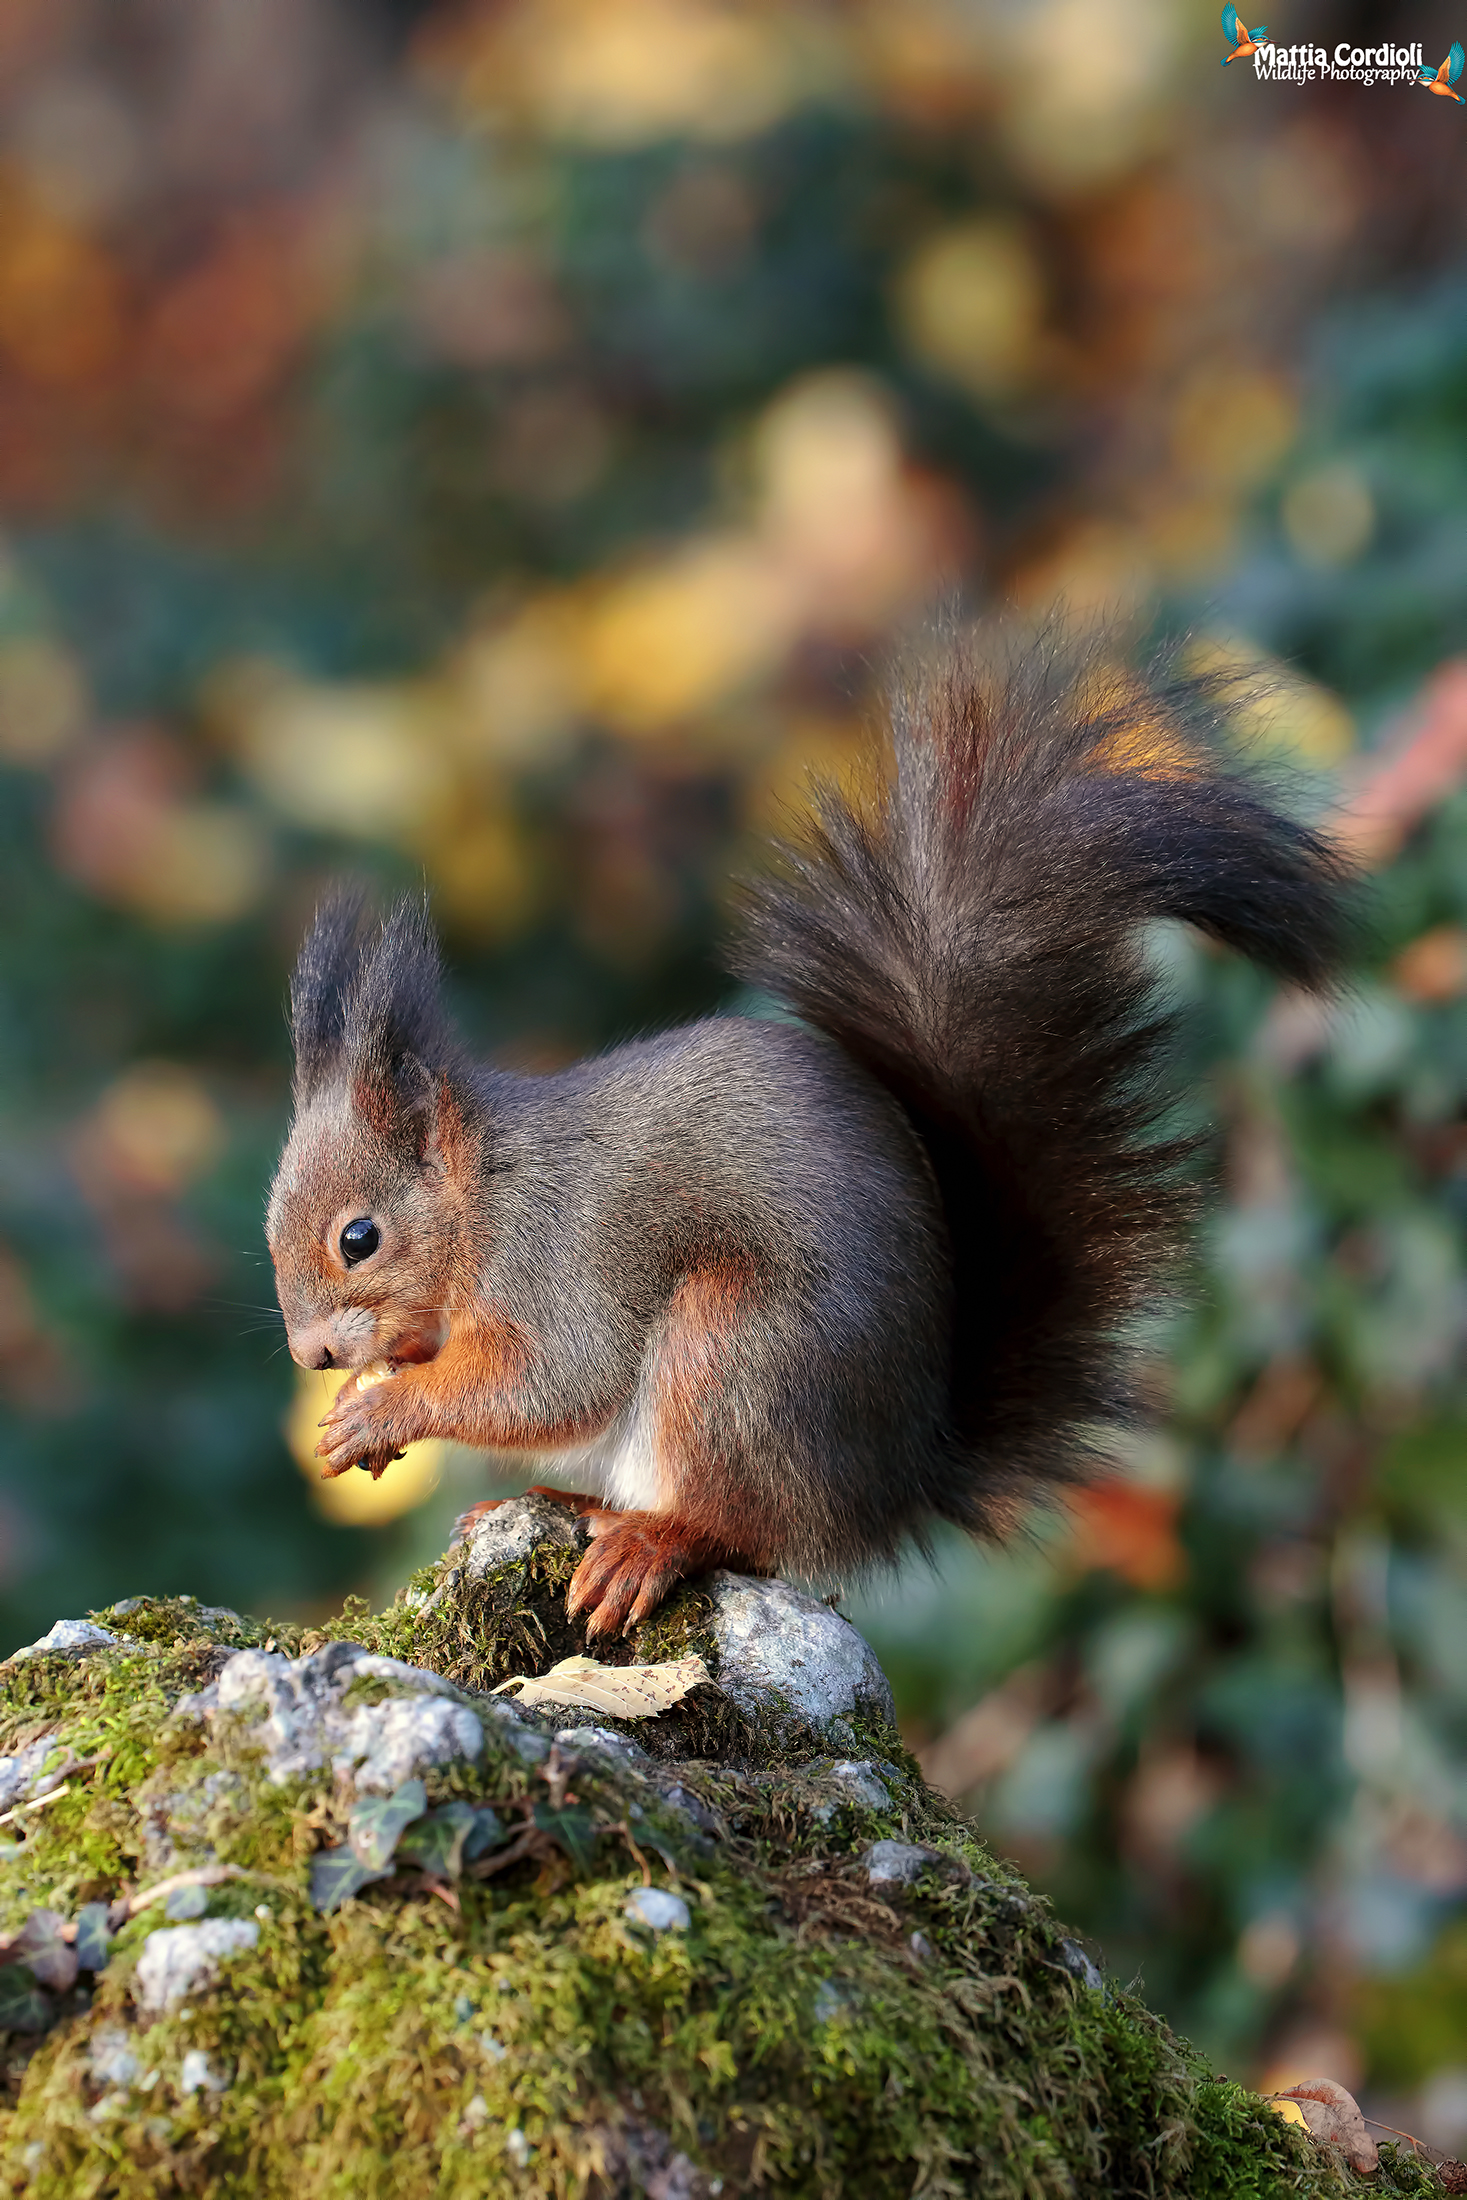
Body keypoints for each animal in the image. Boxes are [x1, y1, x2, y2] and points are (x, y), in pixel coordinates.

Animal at [266, 633, 1352, 1639]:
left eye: (358, 1238)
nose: (311, 1356)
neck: (484, 1194)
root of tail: (893, 1485)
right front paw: (359, 1414)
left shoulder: (557, 1259)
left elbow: (548, 1381)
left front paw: (383, 1406)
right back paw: (559, 1502)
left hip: (737, 1353)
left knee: (743, 1529)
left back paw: (649, 1541)